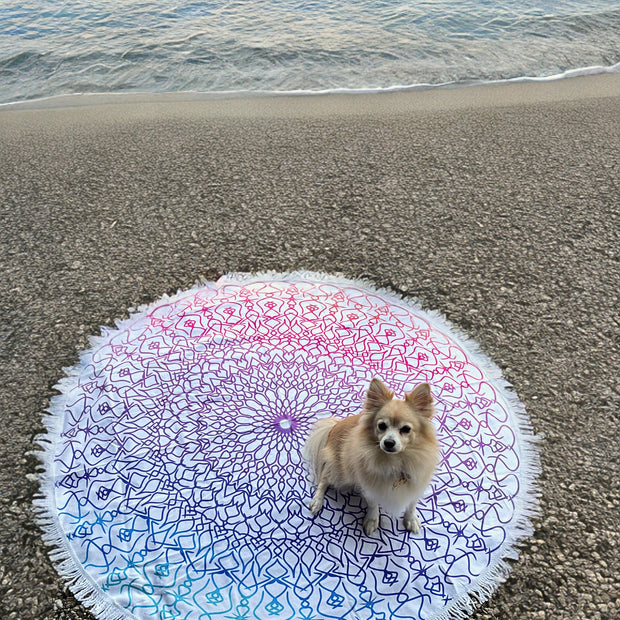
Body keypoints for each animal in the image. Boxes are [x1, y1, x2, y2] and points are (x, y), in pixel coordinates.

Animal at [302, 380, 438, 536]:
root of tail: (334, 426)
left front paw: (411, 519)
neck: (395, 461)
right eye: (382, 426)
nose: (388, 442)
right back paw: (317, 500)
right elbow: (373, 505)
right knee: (324, 478)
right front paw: (372, 520)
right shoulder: (368, 485)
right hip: (341, 471)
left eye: (406, 429)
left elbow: (412, 503)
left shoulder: (417, 483)